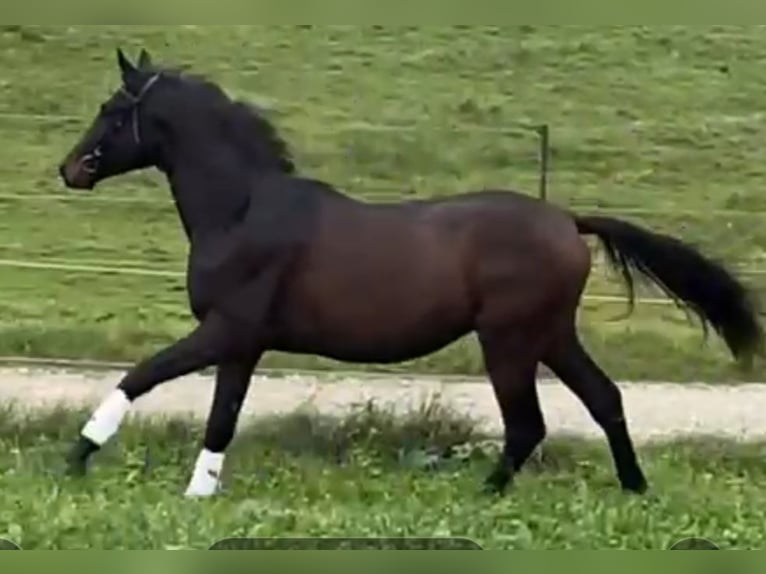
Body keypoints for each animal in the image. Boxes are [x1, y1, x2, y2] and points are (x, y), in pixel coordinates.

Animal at [57, 49, 764, 500]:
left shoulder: (226, 331)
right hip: (551, 336)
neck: (242, 210)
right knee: (604, 399)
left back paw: (485, 494)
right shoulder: (243, 345)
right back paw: (634, 488)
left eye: (113, 109)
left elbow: (143, 377)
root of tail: (567, 220)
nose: (71, 169)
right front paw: (197, 493)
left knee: (528, 424)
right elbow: (220, 417)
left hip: (509, 340)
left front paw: (76, 457)